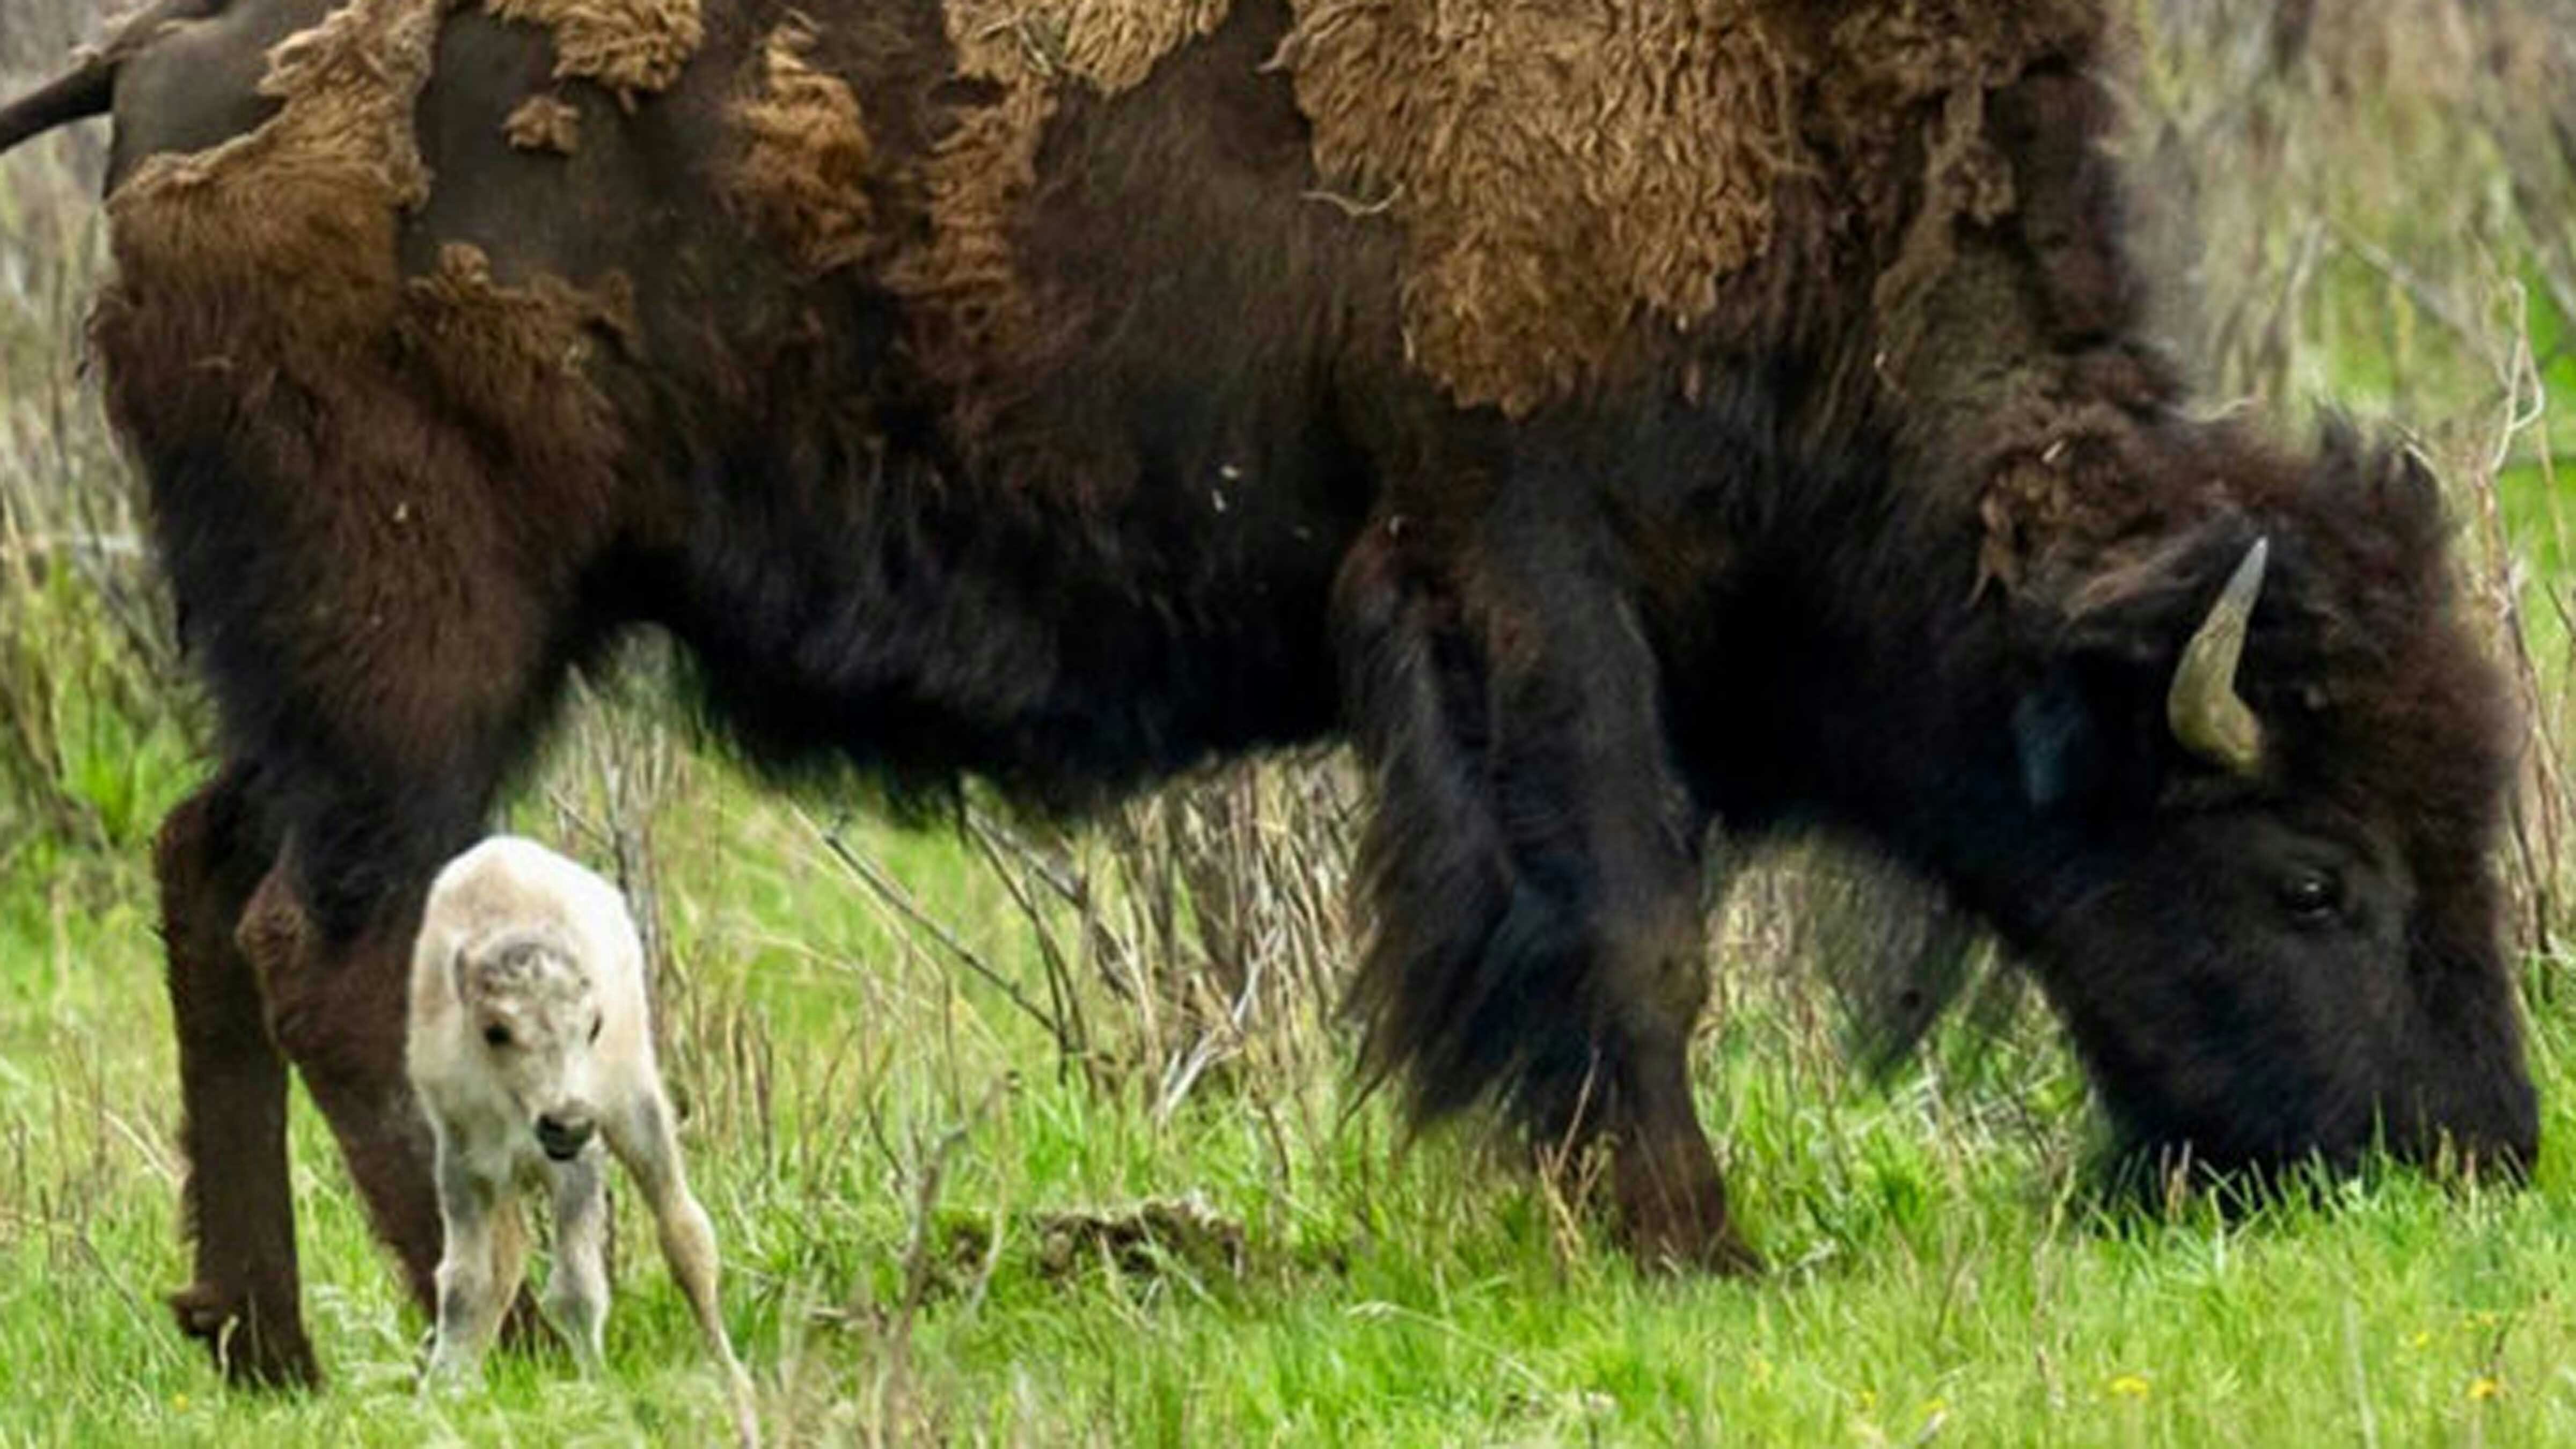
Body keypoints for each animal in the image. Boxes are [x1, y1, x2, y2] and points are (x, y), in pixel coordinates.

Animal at [0, 0, 2537, 1390]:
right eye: (2311, 874)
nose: (2476, 1152)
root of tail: (164, 60)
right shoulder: (1521, 564)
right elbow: (1631, 924)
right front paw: (1687, 1235)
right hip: (418, 642)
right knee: (335, 943)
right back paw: (484, 1318)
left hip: (336, 665)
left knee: (212, 878)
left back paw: (262, 1337)